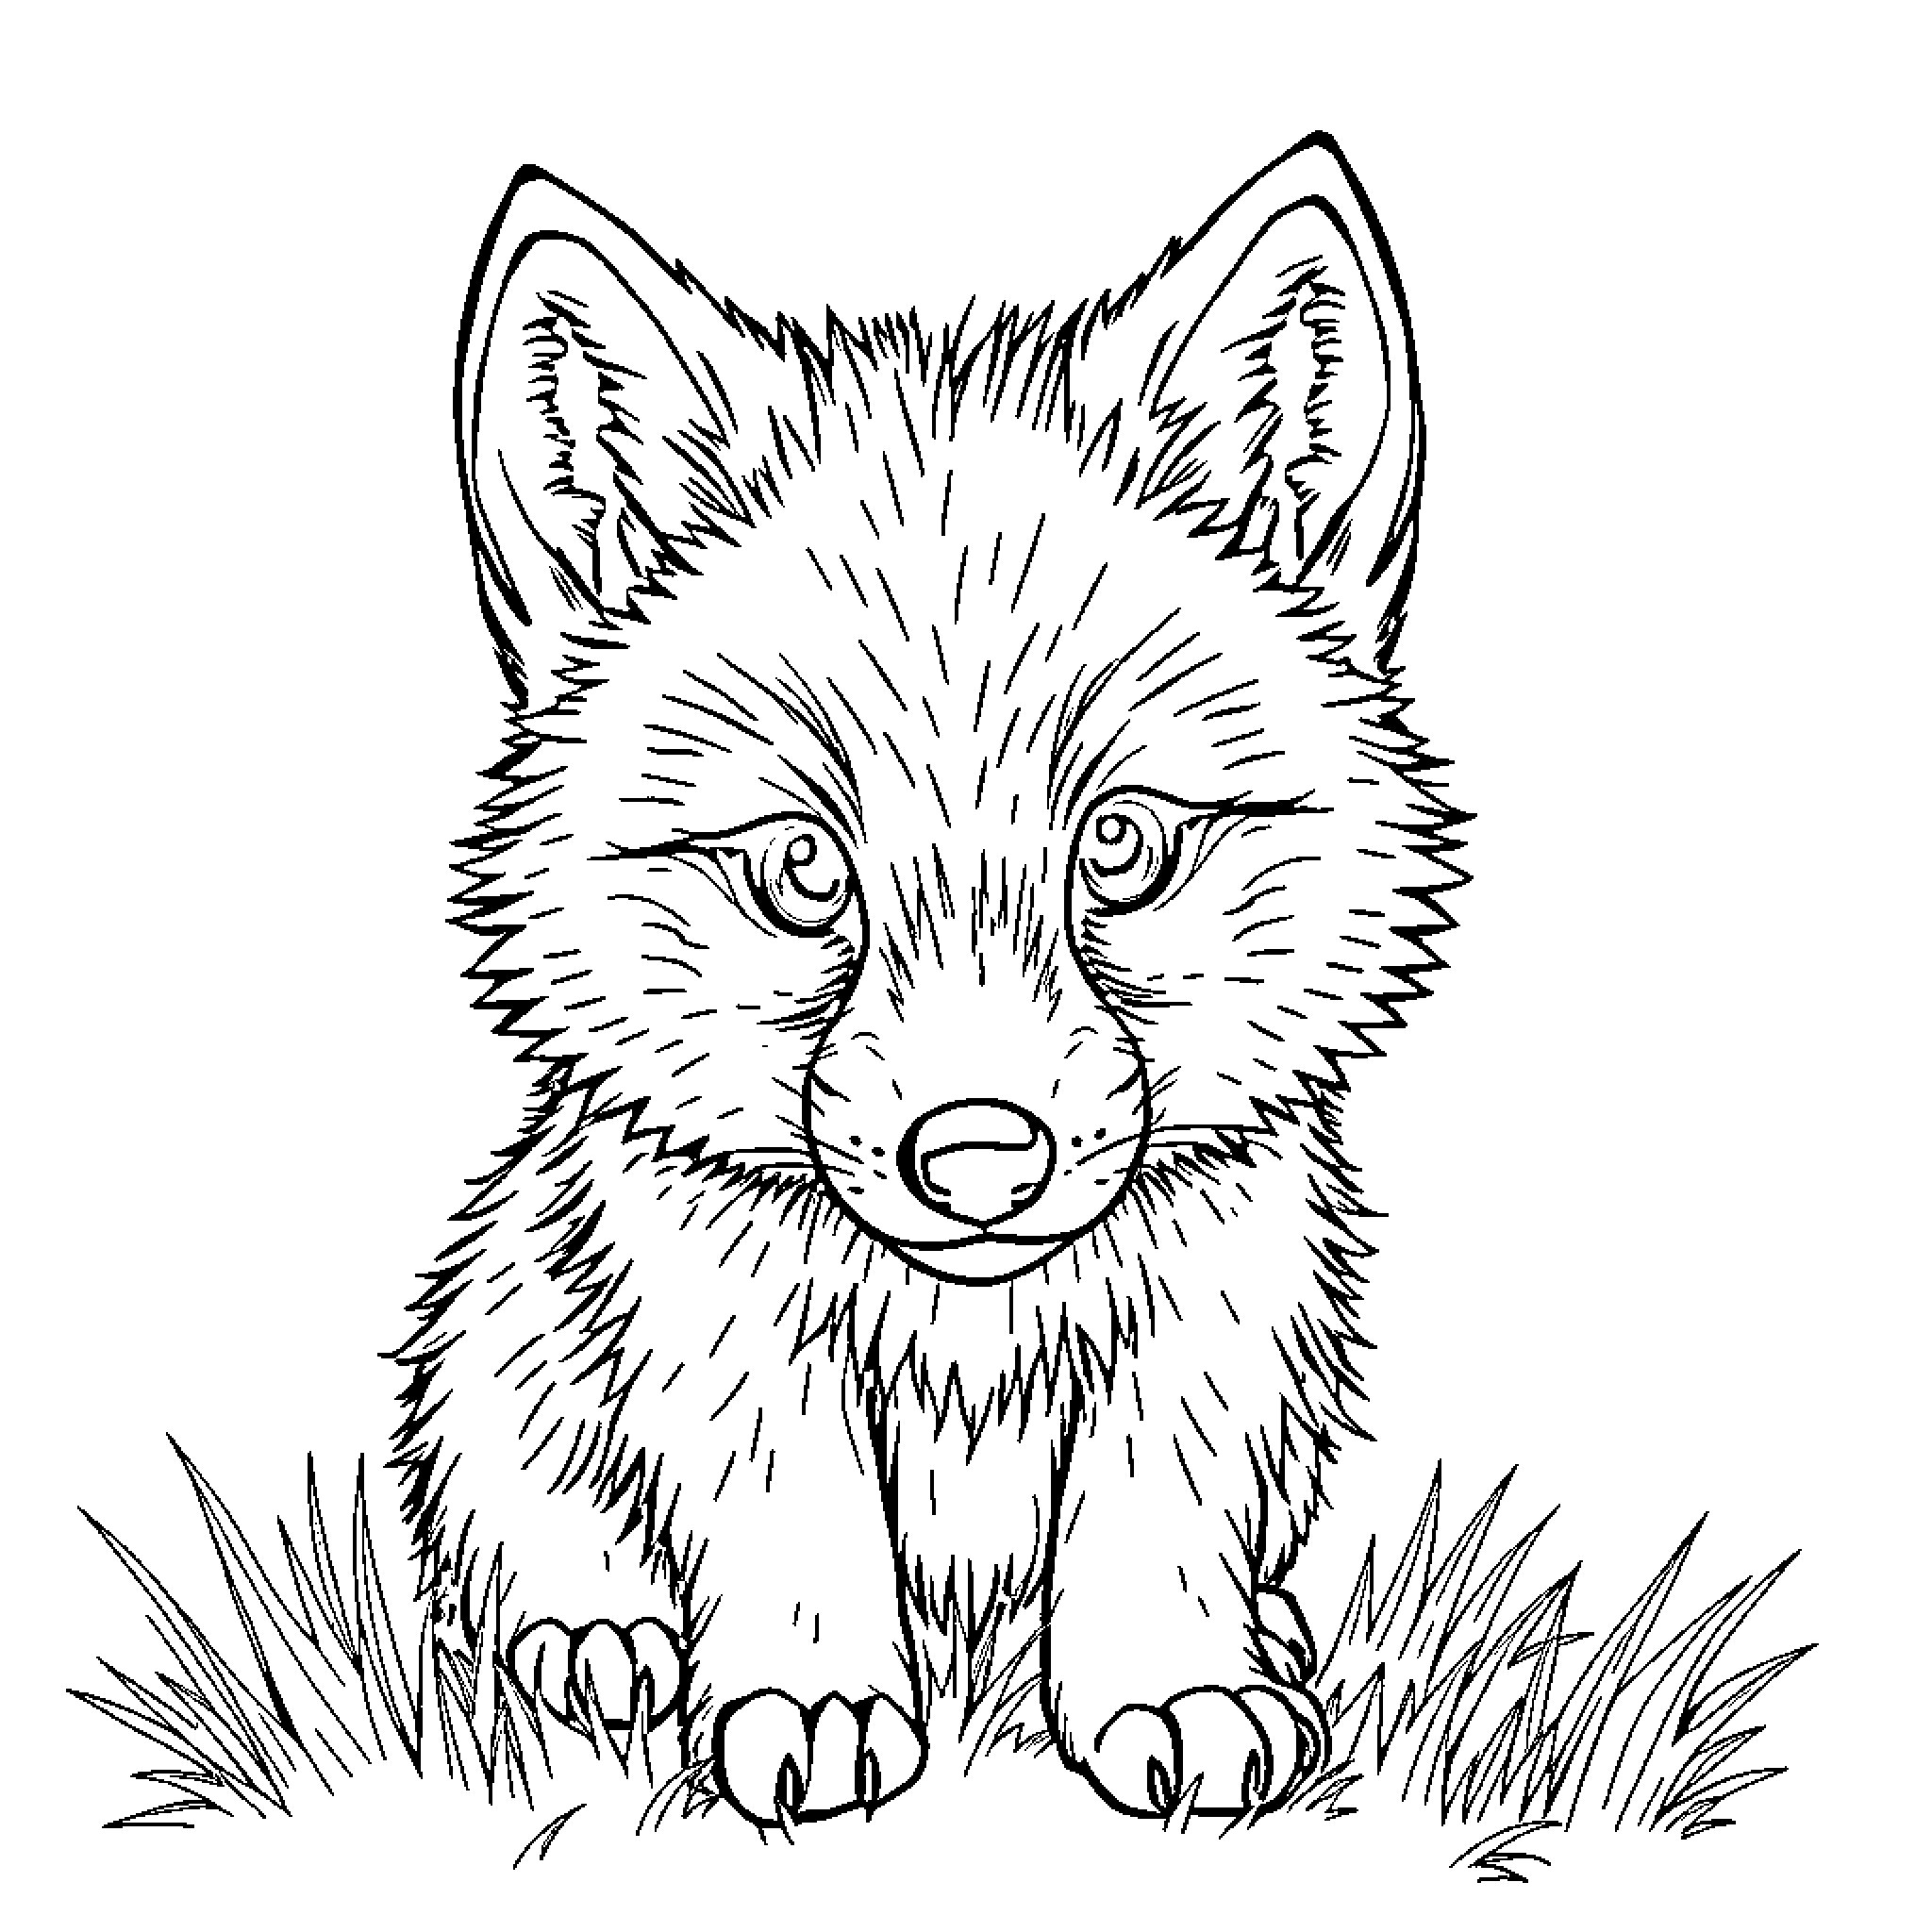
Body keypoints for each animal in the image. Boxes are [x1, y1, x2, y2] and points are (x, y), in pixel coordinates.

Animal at [392, 132, 1460, 1827]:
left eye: (1121, 843)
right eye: (801, 868)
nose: (973, 1162)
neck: (971, 1327)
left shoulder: (1214, 1315)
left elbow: (1155, 1514)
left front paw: (1179, 1689)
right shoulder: (724, 1328)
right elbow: (792, 1512)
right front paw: (816, 1703)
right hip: (498, 1334)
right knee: (506, 1511)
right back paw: (596, 1627)